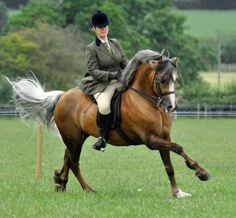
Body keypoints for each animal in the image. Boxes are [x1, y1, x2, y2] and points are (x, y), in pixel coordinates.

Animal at [6, 49, 210, 198]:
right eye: (162, 80)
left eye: (176, 79)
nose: (171, 107)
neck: (147, 101)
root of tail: (63, 95)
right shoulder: (151, 140)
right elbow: (178, 147)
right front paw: (202, 173)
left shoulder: (163, 137)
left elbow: (169, 166)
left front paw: (178, 192)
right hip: (73, 138)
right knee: (74, 162)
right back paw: (88, 189)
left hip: (77, 137)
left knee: (67, 157)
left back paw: (60, 182)